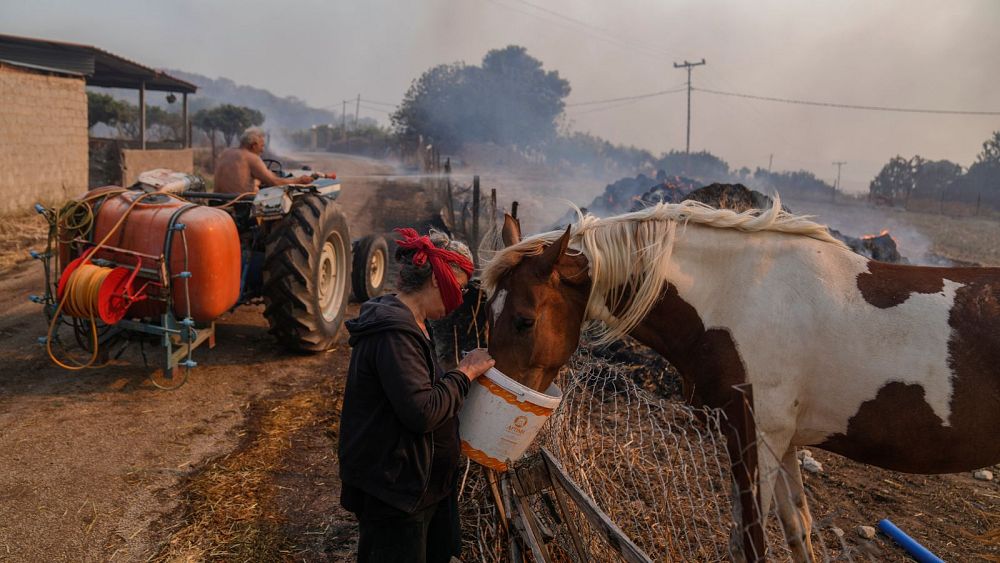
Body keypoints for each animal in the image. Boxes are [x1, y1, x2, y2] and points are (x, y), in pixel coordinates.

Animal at [480, 200, 996, 560]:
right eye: (488, 310)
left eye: (524, 320)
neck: (741, 295)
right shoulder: (781, 442)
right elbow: (797, 529)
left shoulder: (754, 437)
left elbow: (750, 544)